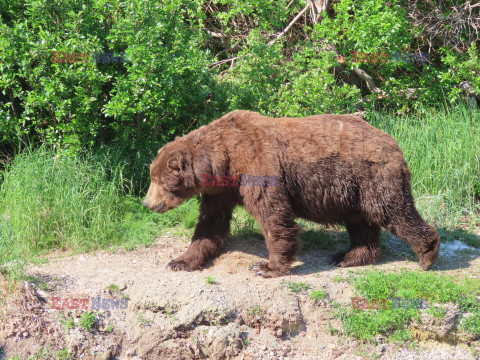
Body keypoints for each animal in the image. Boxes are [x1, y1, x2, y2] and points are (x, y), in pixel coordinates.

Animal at [142, 109, 438, 278]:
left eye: (158, 180)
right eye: (151, 176)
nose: (147, 203)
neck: (225, 160)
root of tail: (395, 144)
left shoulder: (258, 166)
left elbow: (272, 215)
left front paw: (266, 267)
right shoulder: (221, 190)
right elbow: (209, 224)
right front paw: (180, 261)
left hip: (372, 178)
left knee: (393, 211)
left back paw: (427, 253)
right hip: (352, 191)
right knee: (361, 223)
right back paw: (348, 256)